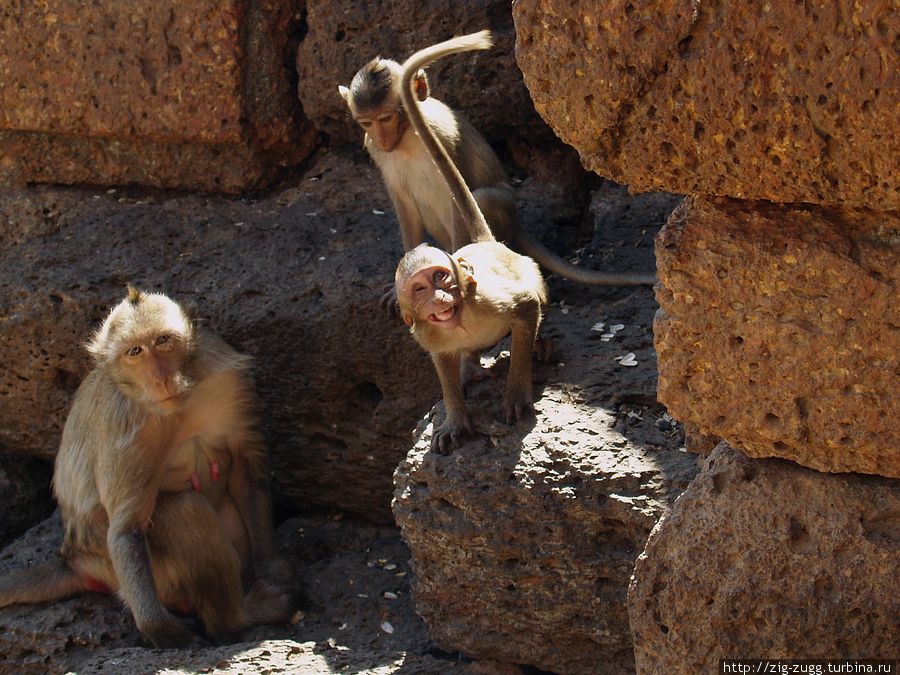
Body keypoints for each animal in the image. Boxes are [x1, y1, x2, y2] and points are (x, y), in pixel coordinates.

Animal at [0, 288, 302, 648]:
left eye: (162, 341)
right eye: (135, 352)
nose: (160, 378)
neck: (178, 406)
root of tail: (74, 558)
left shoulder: (229, 383)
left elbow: (248, 471)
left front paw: (273, 569)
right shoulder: (128, 426)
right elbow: (126, 530)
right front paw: (162, 631)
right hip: (140, 574)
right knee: (186, 510)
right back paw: (240, 617)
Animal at [338, 33, 652, 298]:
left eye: (386, 118)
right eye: (367, 123)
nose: (383, 139)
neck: (405, 138)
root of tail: (517, 225)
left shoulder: (442, 134)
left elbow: (458, 193)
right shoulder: (377, 151)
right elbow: (404, 205)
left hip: (504, 210)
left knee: (482, 198)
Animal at [394, 30, 548, 454]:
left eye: (440, 278)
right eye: (419, 289)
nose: (439, 297)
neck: (461, 320)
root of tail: (485, 242)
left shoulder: (493, 301)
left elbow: (527, 307)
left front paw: (516, 394)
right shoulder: (427, 333)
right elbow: (442, 363)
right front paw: (455, 419)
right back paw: (471, 367)